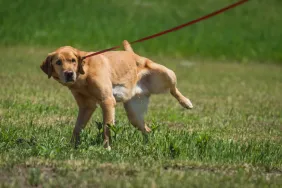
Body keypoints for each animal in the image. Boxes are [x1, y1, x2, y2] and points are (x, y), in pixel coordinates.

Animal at [40, 40, 194, 149]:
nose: (69, 74)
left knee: (173, 89)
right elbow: (77, 128)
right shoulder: (86, 107)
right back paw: (149, 143)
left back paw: (186, 102)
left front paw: (106, 148)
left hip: (167, 73)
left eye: (73, 60)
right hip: (134, 115)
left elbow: (107, 127)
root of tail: (133, 54)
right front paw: (72, 146)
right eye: (58, 62)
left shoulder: (107, 101)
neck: (84, 75)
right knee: (147, 129)